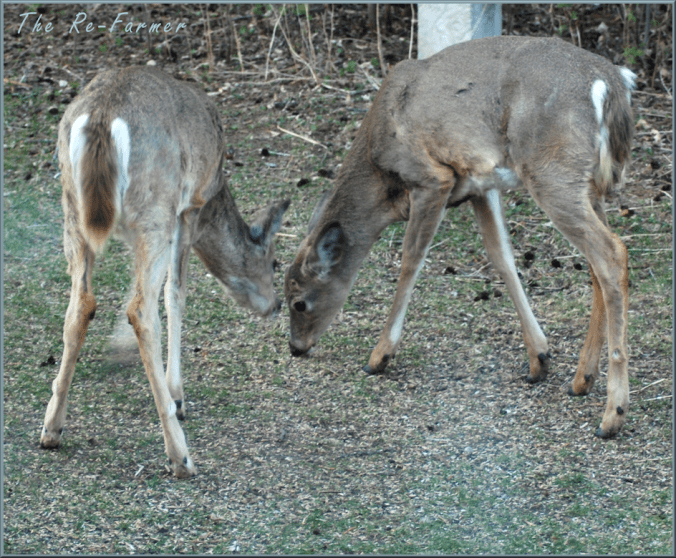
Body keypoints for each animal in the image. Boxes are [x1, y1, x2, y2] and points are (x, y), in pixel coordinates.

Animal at [40, 66, 289, 478]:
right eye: (274, 263)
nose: (276, 305)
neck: (218, 191)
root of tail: (102, 119)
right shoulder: (189, 207)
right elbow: (175, 294)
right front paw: (177, 394)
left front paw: (119, 349)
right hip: (155, 206)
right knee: (142, 310)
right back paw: (180, 455)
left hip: (72, 209)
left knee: (80, 305)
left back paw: (51, 429)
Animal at [284, 35, 636, 438]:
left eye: (299, 303)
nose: (295, 347)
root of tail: (611, 83)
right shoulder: (479, 184)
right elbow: (502, 257)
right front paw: (539, 358)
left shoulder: (432, 177)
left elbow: (410, 259)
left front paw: (379, 355)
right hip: (587, 184)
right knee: (596, 266)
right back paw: (581, 380)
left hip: (552, 171)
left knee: (612, 252)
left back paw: (612, 415)